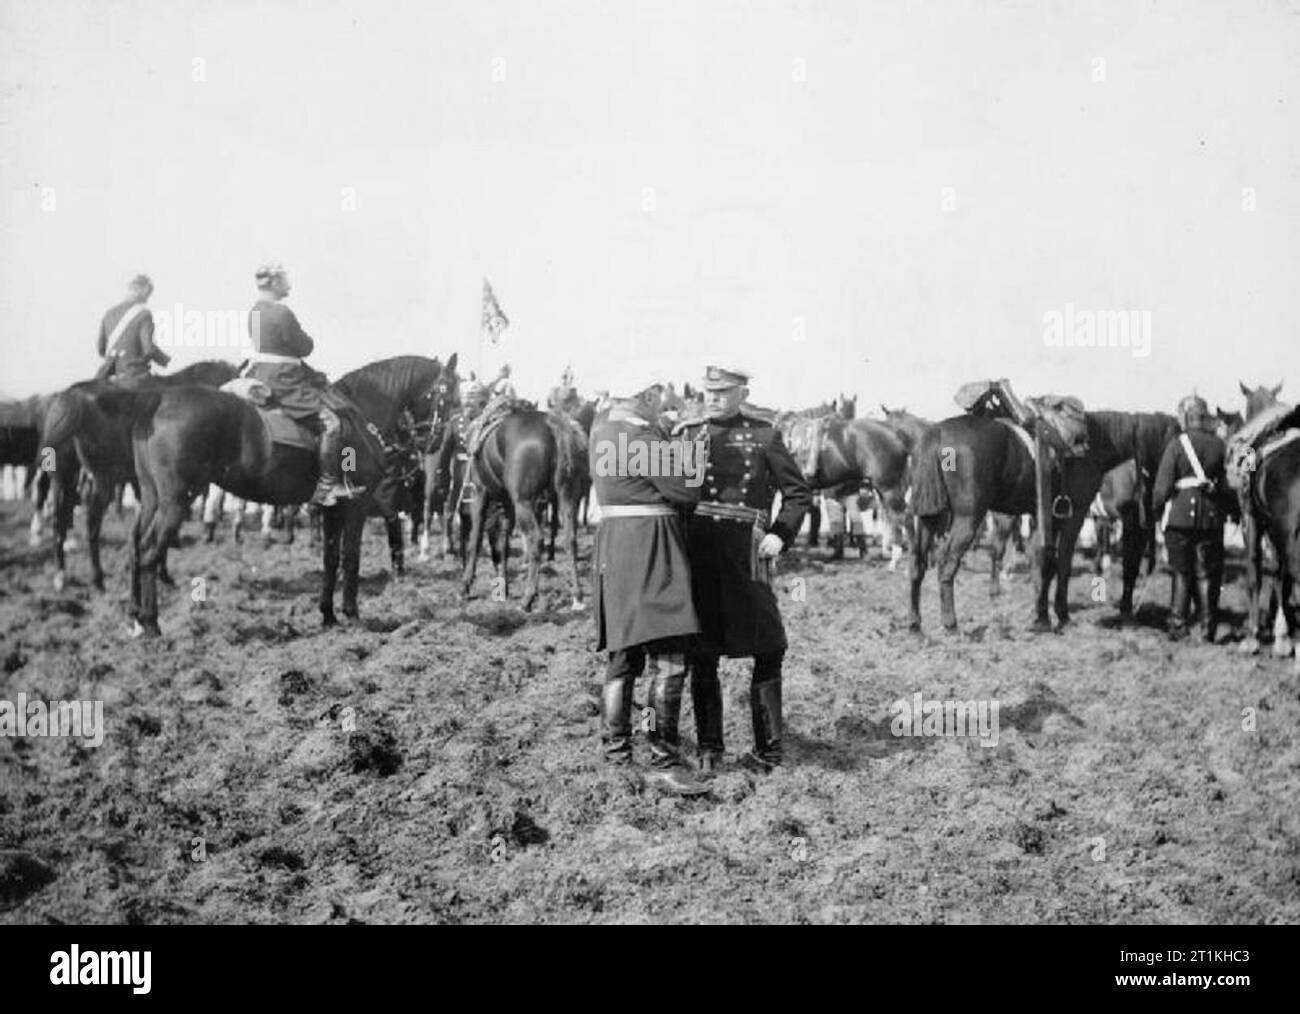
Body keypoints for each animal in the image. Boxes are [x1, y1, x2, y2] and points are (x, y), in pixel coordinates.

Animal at [105, 353, 457, 629]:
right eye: (450, 394)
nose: (435, 444)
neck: (362, 412)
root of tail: (158, 401)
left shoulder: (334, 508)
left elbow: (331, 558)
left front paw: (328, 615)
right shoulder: (356, 506)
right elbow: (351, 558)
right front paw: (352, 613)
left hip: (152, 498)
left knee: (136, 546)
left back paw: (135, 616)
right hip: (176, 501)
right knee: (149, 551)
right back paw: (151, 623)